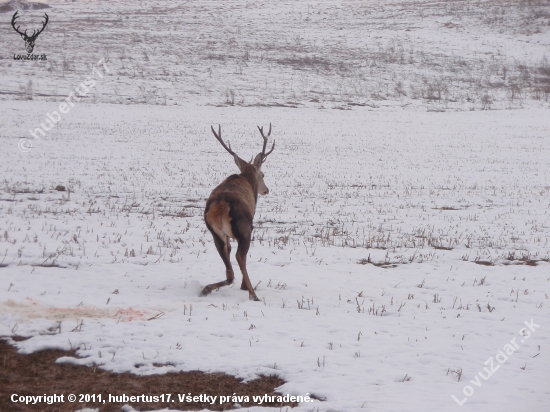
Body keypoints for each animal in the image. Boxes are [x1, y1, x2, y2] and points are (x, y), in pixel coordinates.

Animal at [202, 122, 276, 300]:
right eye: (263, 174)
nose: (266, 190)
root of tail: (220, 207)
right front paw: (245, 287)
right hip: (245, 228)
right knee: (240, 256)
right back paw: (253, 294)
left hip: (215, 233)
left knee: (229, 269)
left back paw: (207, 288)